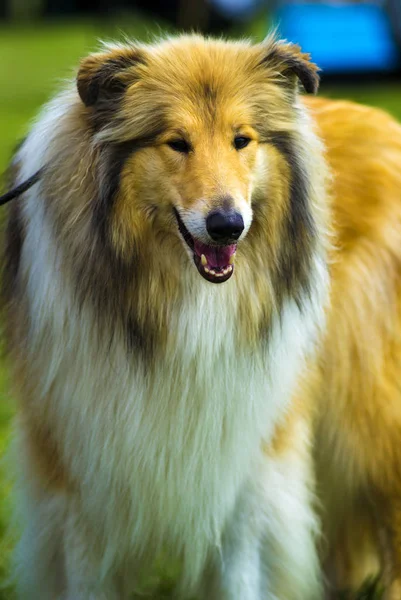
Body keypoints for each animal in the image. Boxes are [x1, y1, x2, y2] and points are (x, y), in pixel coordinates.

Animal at [3, 34, 400, 600]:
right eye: (176, 143)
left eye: (241, 140)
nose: (227, 226)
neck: (180, 298)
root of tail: (385, 122)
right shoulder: (79, 463)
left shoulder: (246, 449)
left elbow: (242, 571)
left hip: (367, 408)